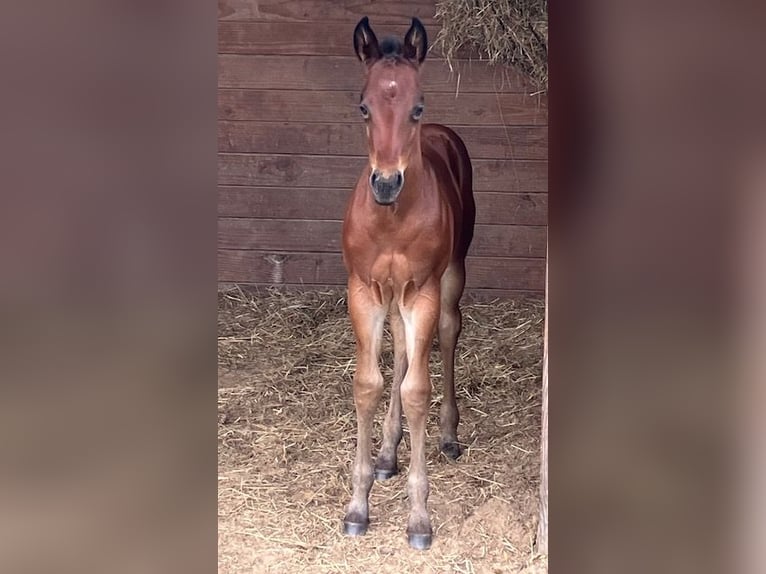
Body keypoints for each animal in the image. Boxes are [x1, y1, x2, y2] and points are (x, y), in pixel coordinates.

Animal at [340, 16, 476, 550]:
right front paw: (357, 506)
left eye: (417, 107)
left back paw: (448, 435)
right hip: (391, 295)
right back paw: (387, 453)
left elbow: (418, 389)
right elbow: (369, 384)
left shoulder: (422, 290)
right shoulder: (363, 290)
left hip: (450, 276)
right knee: (399, 349)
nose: (385, 183)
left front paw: (419, 517)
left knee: (448, 332)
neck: (392, 220)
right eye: (363, 106)